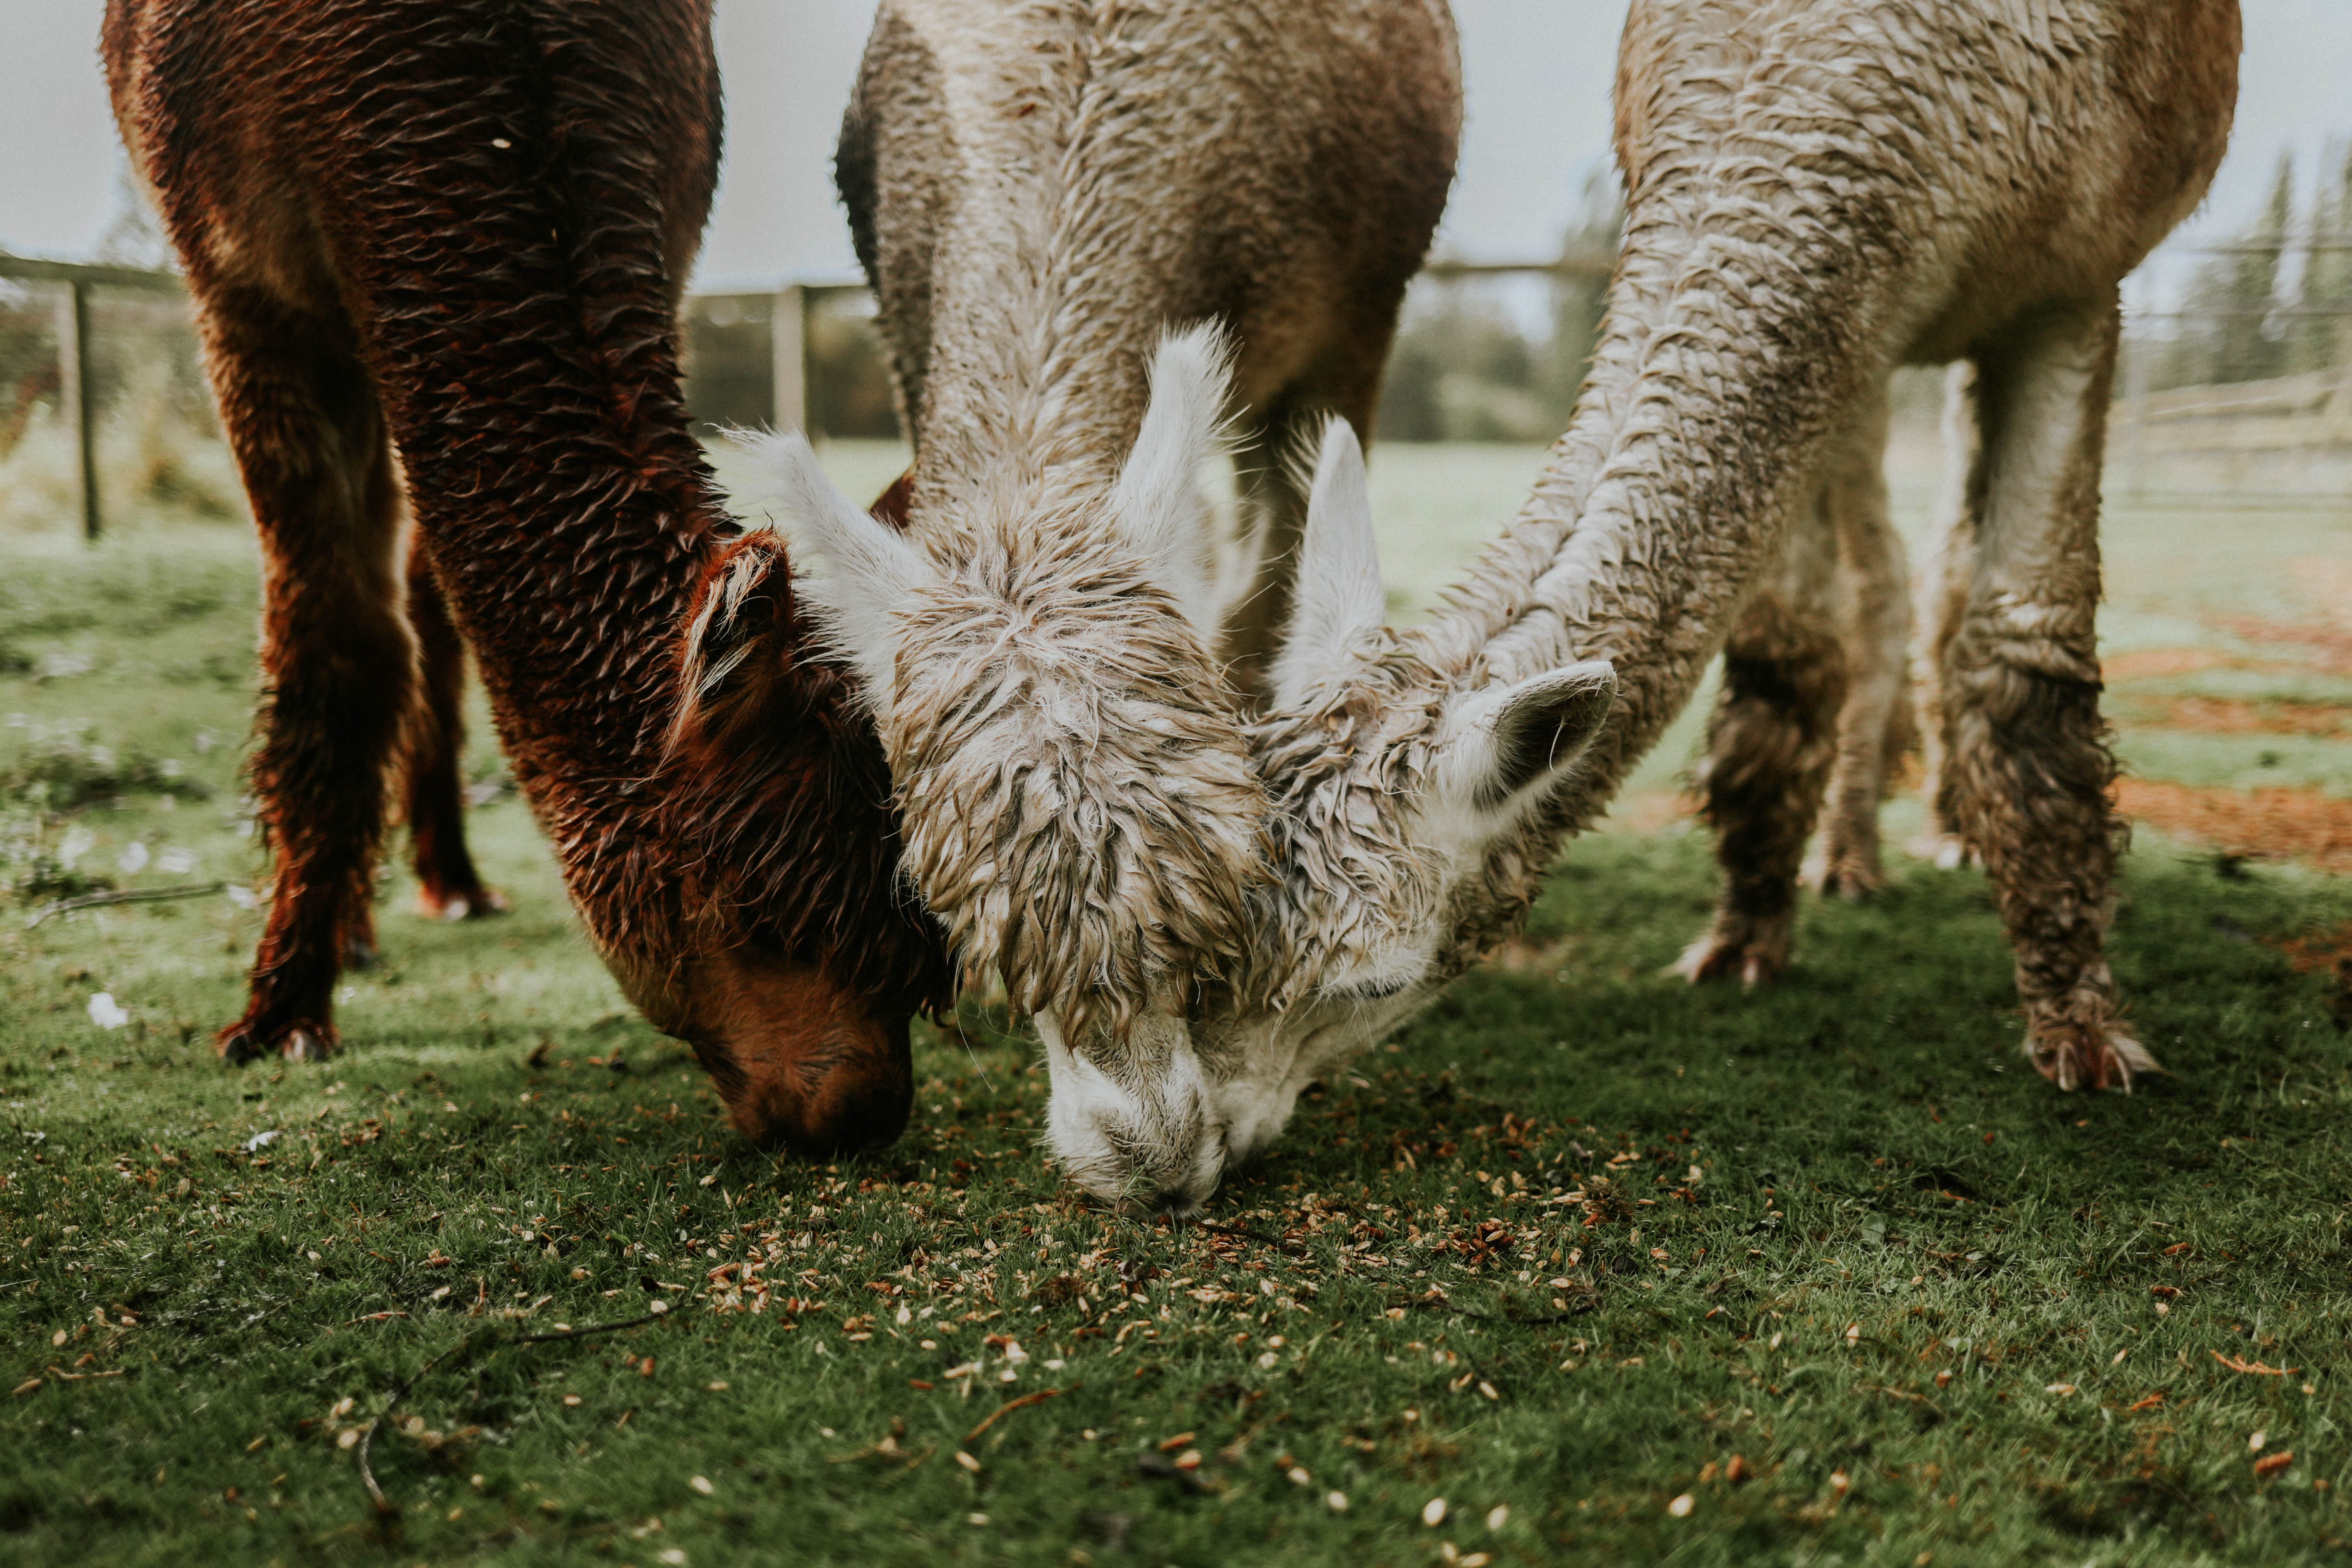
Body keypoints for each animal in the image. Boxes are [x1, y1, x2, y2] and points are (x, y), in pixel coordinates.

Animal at [104, 0, 953, 1151]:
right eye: (756, 921)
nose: (861, 1113)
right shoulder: (247, 291)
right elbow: (334, 641)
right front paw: (281, 1011)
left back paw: (444, 879)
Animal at [1047, 0, 2242, 1212]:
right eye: (1203, 952)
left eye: (1373, 981)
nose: (1177, 1158)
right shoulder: (1841, 335)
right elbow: (1786, 646)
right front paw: (1745, 937)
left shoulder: (2076, 279)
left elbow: (2022, 642)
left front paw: (2081, 1028)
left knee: (1931, 577)